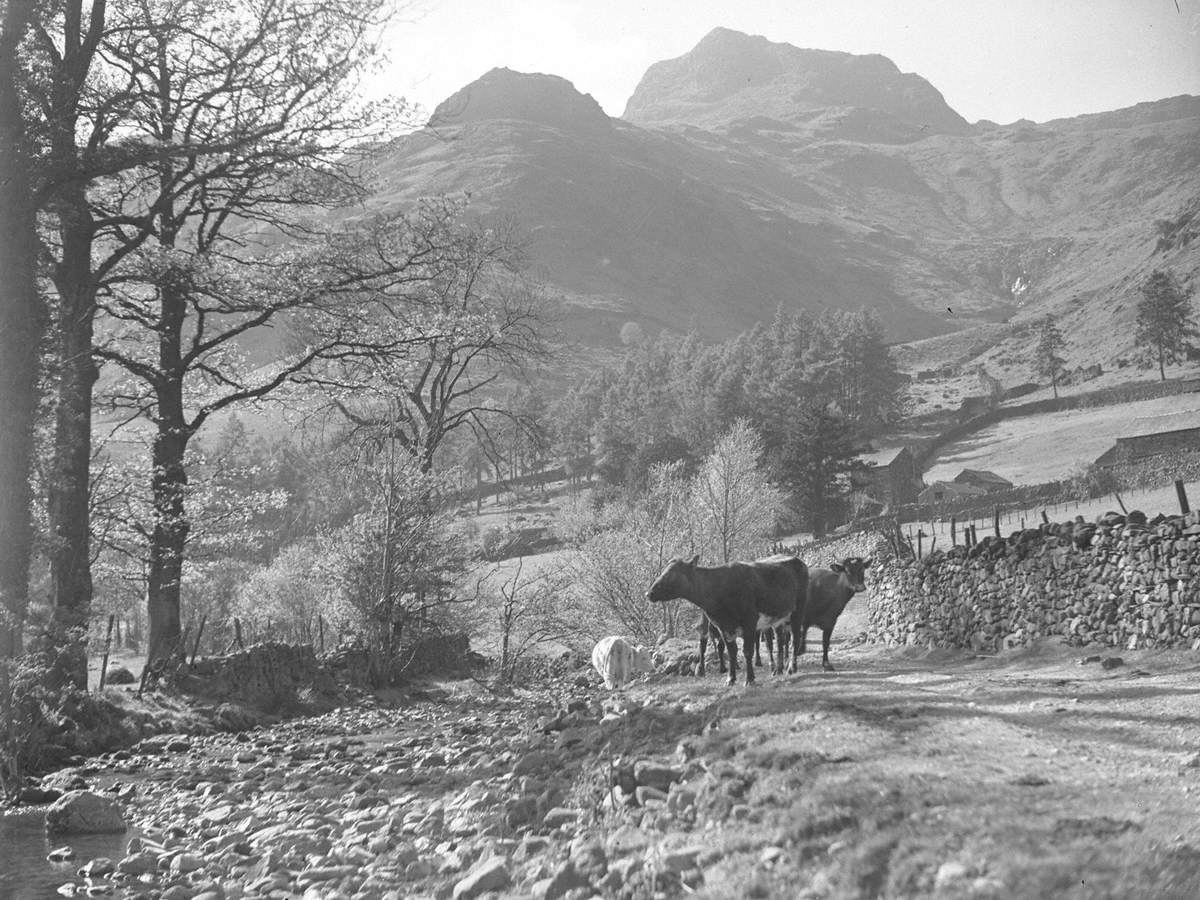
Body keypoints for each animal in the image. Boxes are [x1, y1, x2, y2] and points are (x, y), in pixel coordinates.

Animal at [648, 554, 806, 686]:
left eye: (672, 574)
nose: (649, 593)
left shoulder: (749, 622)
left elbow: (747, 651)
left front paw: (749, 679)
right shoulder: (722, 626)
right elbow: (731, 652)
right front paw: (731, 678)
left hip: (798, 612)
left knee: (794, 640)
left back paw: (791, 668)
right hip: (778, 618)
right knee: (779, 641)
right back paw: (778, 670)